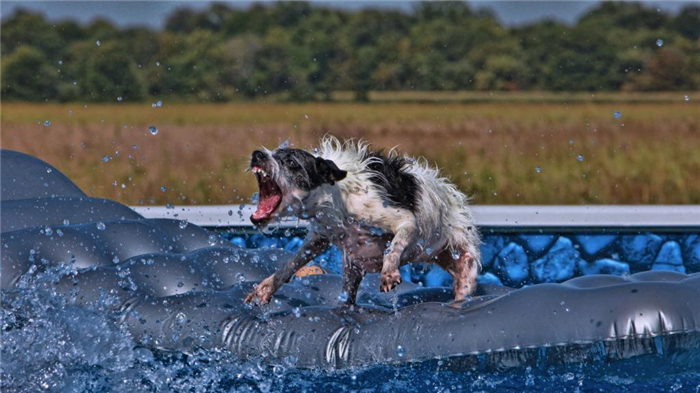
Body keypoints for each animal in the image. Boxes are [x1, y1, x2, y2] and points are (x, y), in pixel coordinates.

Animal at [243, 136, 478, 304]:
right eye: (272, 152)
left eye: (291, 162)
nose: (257, 154)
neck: (336, 199)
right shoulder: (320, 237)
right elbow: (291, 262)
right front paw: (267, 287)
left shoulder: (404, 221)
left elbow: (393, 248)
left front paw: (388, 273)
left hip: (465, 263)